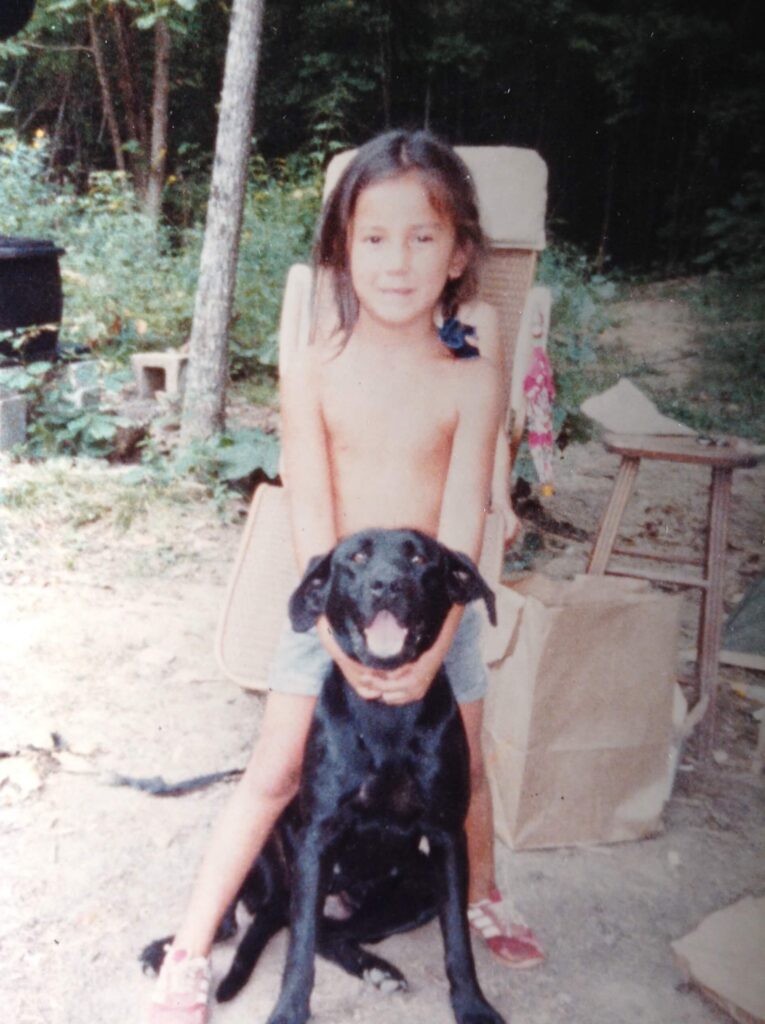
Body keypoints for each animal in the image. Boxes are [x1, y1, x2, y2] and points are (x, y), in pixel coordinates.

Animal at [142, 532, 501, 1019]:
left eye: (420, 557)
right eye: (357, 557)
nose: (387, 585)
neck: (384, 713)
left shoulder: (447, 838)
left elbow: (458, 942)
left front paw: (472, 1005)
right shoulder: (317, 838)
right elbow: (300, 947)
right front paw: (288, 1011)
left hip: (418, 889)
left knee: (332, 934)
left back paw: (376, 969)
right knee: (247, 923)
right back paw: (164, 950)